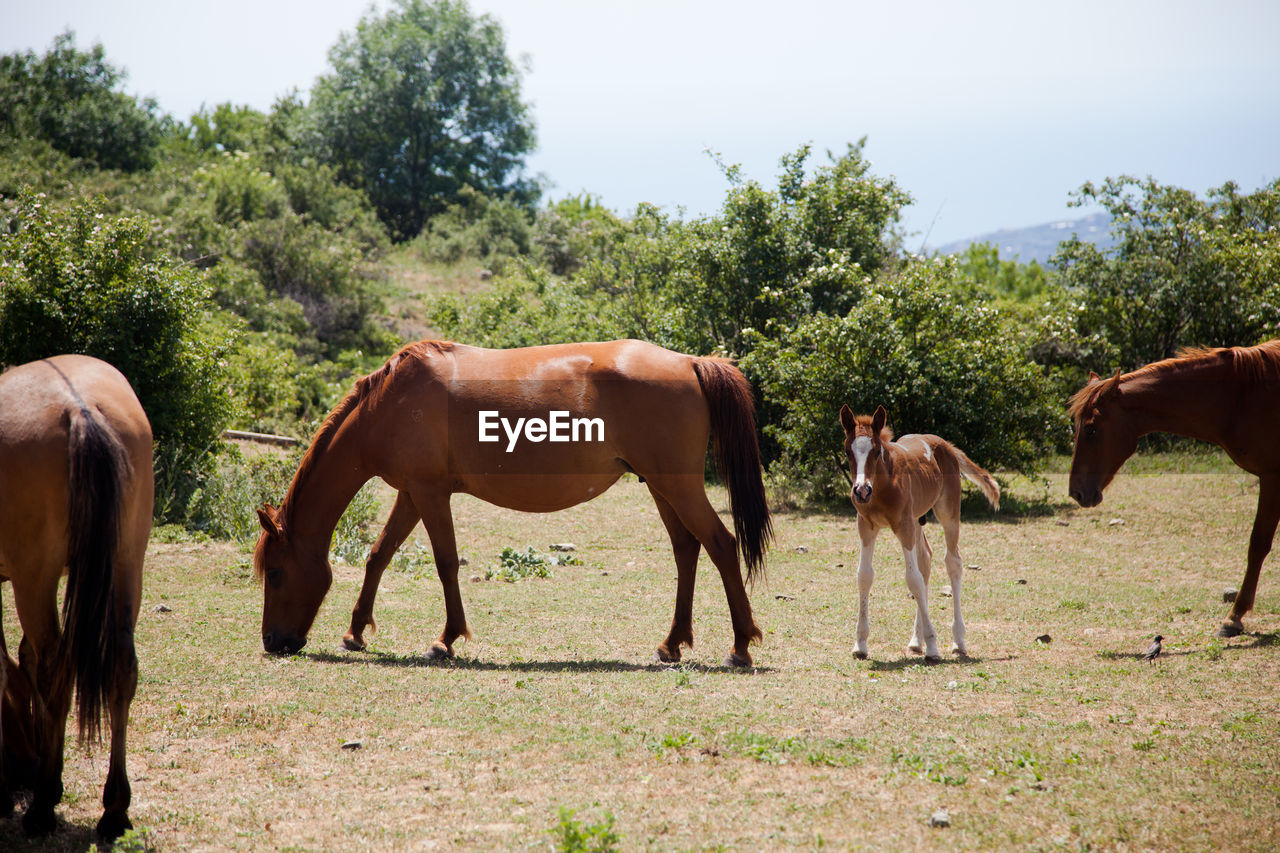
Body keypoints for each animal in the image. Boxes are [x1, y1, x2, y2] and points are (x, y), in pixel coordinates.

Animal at [0, 353, 152, 835]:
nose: (22, 769)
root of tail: (80, 409)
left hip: (35, 577)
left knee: (55, 668)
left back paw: (43, 805)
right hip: (127, 564)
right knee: (120, 666)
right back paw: (114, 809)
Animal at [253, 338, 762, 666]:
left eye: (275, 573)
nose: (274, 641)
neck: (389, 404)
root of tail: (690, 362)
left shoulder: (430, 493)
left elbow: (445, 563)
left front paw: (446, 640)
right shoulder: (411, 493)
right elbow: (379, 555)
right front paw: (355, 633)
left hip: (676, 486)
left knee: (721, 544)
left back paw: (740, 647)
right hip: (661, 486)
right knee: (687, 549)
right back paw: (673, 644)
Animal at [839, 404, 998, 655]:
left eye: (876, 452)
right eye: (847, 451)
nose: (861, 491)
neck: (884, 485)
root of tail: (946, 445)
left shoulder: (903, 525)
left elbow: (912, 579)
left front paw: (932, 645)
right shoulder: (866, 526)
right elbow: (865, 575)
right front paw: (860, 644)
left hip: (947, 513)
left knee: (953, 562)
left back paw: (958, 640)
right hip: (915, 521)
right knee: (925, 560)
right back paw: (916, 640)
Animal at [1075, 343, 1280, 635]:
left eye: (1091, 430)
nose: (1076, 491)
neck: (1240, 397)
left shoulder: (1272, 476)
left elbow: (1258, 544)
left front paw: (1234, 616)